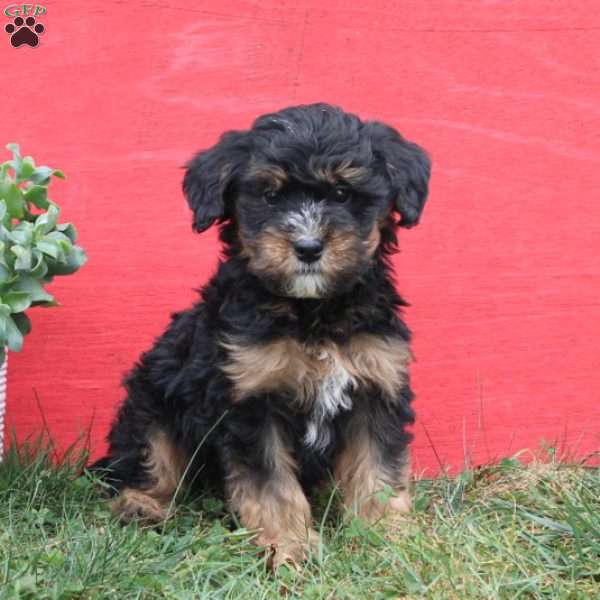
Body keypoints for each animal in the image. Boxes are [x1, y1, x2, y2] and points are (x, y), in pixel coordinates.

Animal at [95, 102, 432, 568]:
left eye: (342, 194)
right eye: (270, 196)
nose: (308, 247)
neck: (311, 313)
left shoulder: (377, 386)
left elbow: (378, 470)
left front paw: (386, 538)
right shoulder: (251, 400)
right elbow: (272, 485)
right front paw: (290, 547)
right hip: (152, 402)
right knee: (150, 461)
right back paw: (140, 505)